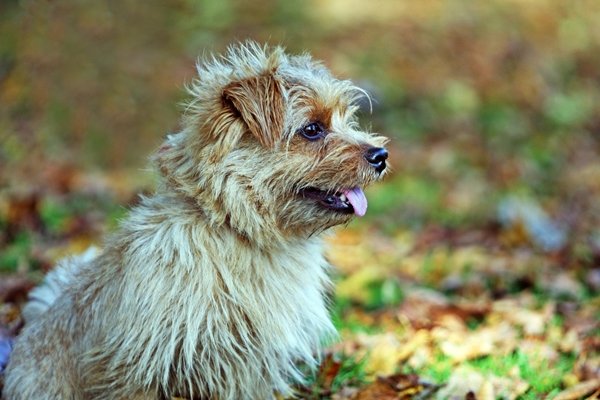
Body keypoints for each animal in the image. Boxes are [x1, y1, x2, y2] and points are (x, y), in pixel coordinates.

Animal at [3, 42, 390, 398]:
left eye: (345, 120)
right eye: (311, 129)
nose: (381, 154)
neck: (236, 231)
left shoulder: (250, 370)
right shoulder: (135, 367)